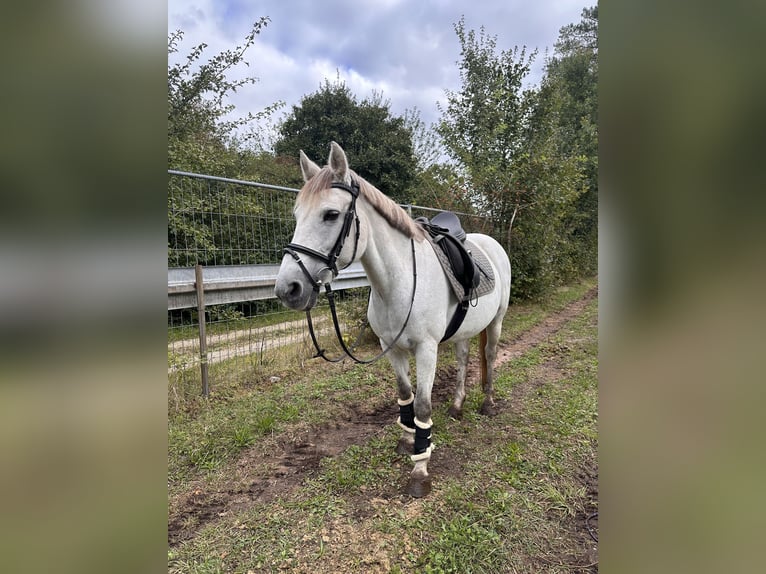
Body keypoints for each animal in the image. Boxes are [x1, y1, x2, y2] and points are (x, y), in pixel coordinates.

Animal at [272, 142, 512, 498]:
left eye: (331, 214)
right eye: (297, 215)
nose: (288, 289)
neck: (399, 282)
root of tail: (491, 243)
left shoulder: (426, 349)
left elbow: (423, 406)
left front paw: (420, 469)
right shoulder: (392, 347)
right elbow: (404, 395)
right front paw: (407, 441)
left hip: (496, 322)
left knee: (490, 356)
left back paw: (488, 403)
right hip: (463, 331)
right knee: (464, 358)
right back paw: (457, 406)